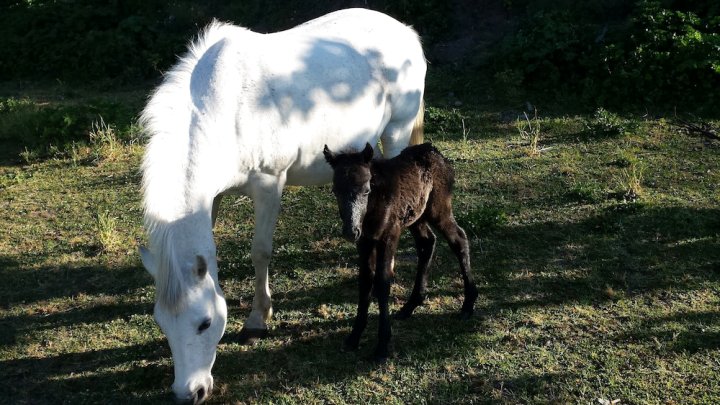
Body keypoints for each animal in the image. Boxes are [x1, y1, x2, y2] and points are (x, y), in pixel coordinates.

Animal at [138, 7, 424, 402]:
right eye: (161, 324)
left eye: (204, 324)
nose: (188, 393)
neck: (225, 112)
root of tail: (405, 31)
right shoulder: (210, 197)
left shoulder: (269, 185)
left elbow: (261, 252)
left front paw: (258, 320)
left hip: (396, 133)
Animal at [324, 142, 476, 360]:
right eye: (335, 191)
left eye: (366, 190)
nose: (350, 231)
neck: (373, 208)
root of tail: (435, 151)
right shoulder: (365, 241)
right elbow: (365, 281)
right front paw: (354, 337)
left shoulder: (389, 235)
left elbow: (382, 282)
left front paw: (382, 346)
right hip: (416, 216)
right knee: (427, 243)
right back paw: (411, 305)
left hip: (438, 208)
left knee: (459, 239)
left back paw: (468, 305)